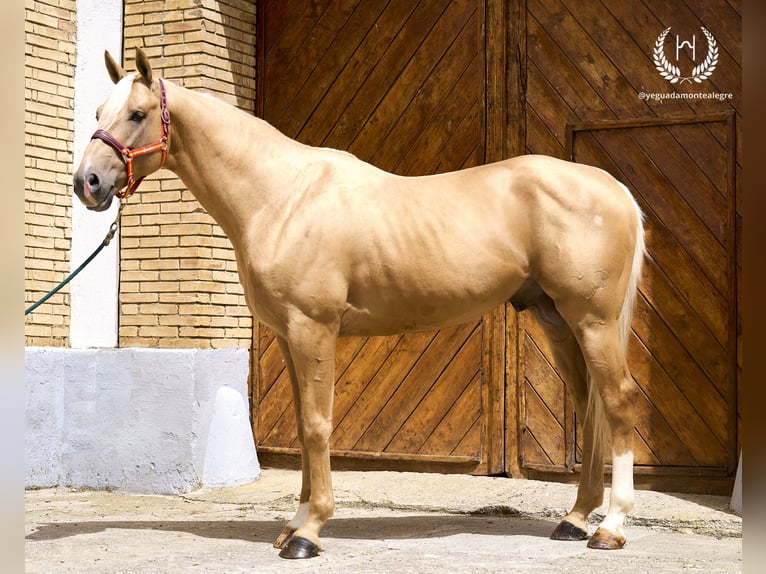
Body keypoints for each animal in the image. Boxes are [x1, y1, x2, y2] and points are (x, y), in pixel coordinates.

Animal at [73, 49, 648, 564]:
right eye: (97, 111)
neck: (282, 197)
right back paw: (575, 520)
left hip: (592, 320)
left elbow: (316, 425)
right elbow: (303, 424)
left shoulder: (313, 329)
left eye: (138, 114)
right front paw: (294, 525)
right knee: (590, 406)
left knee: (618, 401)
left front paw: (309, 533)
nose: (88, 184)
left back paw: (612, 527)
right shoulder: (289, 335)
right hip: (559, 321)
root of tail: (613, 187)